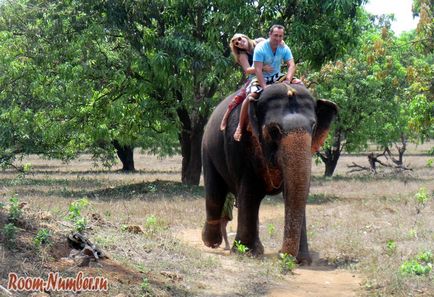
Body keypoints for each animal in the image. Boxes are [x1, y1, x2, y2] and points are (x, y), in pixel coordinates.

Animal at [202, 81, 338, 262]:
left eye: (314, 126)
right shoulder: (240, 145)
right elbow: (250, 192)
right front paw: (245, 253)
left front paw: (302, 260)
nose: (281, 254)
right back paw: (211, 242)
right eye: (274, 130)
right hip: (207, 149)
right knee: (215, 192)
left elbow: (294, 192)